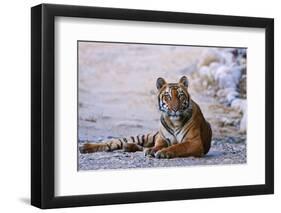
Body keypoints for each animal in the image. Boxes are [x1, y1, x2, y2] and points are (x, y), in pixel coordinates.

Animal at [78, 76, 210, 158]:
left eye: (180, 96)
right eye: (167, 96)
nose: (175, 109)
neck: (174, 122)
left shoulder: (194, 142)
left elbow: (178, 146)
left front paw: (163, 152)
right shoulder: (161, 139)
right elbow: (158, 145)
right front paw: (154, 150)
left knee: (139, 147)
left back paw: (128, 147)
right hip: (144, 136)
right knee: (112, 142)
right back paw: (85, 147)